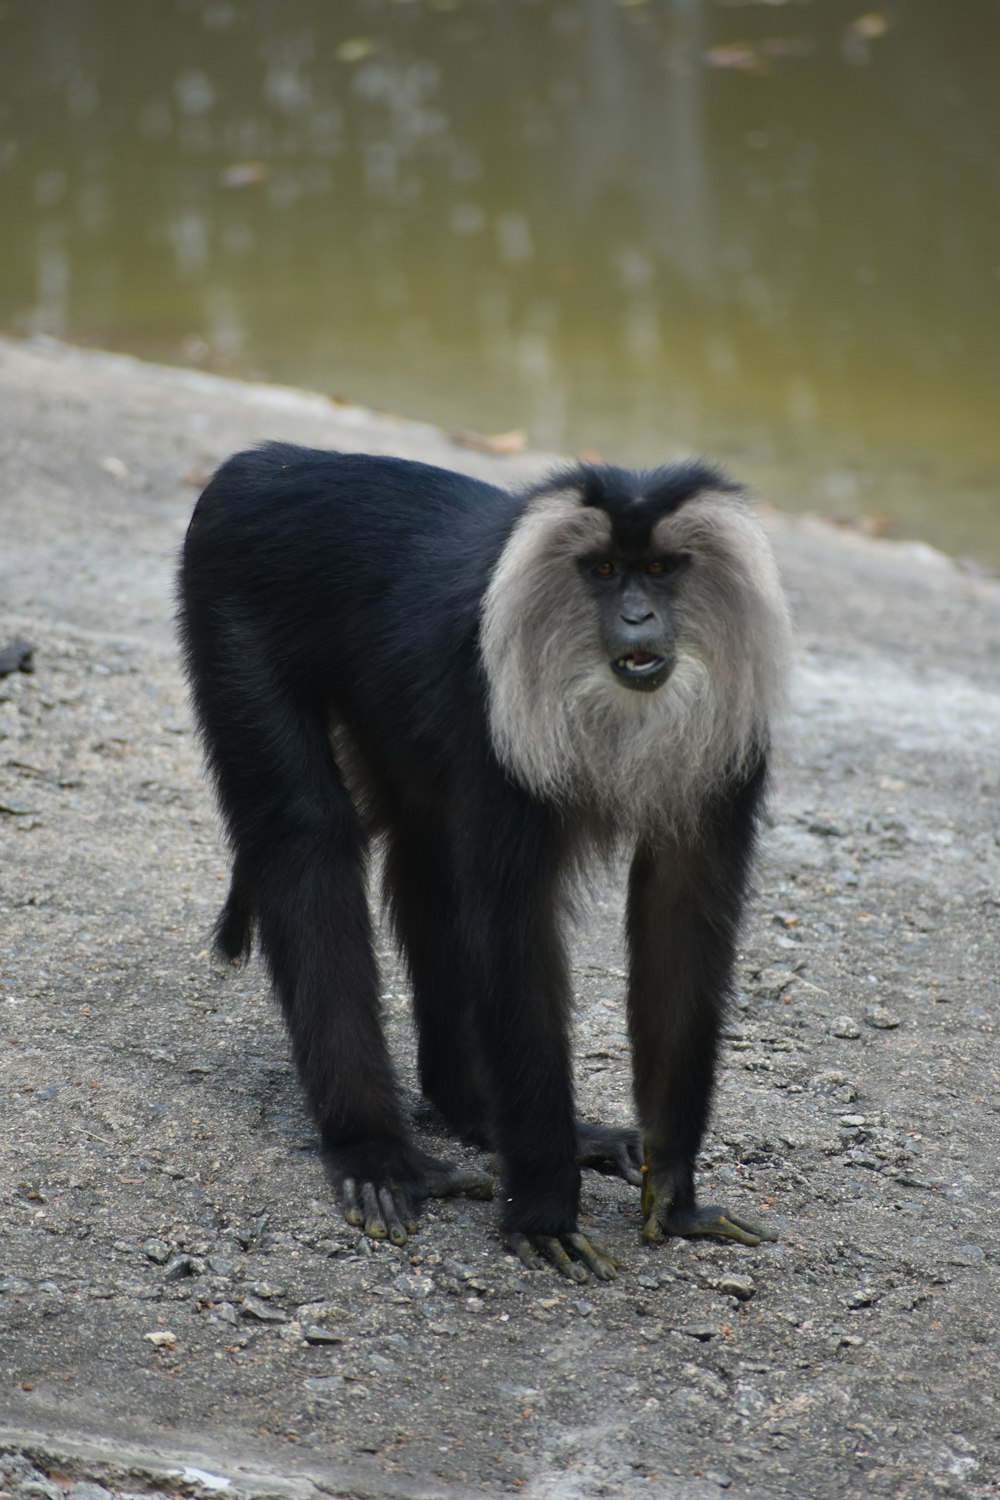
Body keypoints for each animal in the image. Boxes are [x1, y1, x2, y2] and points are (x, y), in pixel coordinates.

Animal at [176, 444, 791, 1278]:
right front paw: (543, 1209)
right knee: (307, 834)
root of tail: (264, 461)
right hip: (231, 606)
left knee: (426, 863)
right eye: (603, 571)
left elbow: (681, 920)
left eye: (661, 569)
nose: (638, 619)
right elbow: (512, 933)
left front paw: (674, 1190)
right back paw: (375, 1153)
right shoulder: (494, 718)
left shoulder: (728, 744)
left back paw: (471, 1110)